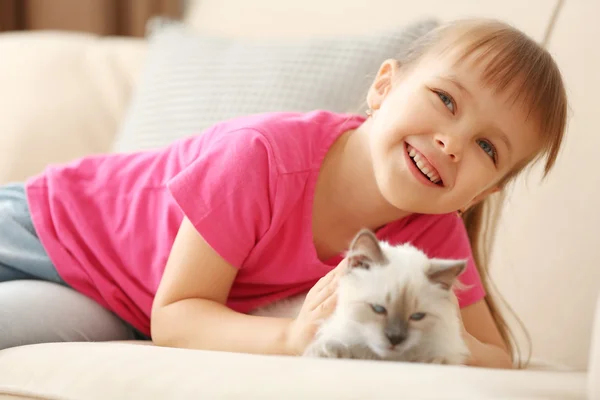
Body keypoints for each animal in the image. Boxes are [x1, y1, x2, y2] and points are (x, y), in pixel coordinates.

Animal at [251, 230, 472, 364]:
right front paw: (334, 353)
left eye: (417, 317)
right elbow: (331, 347)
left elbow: (440, 358)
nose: (395, 338)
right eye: (378, 309)